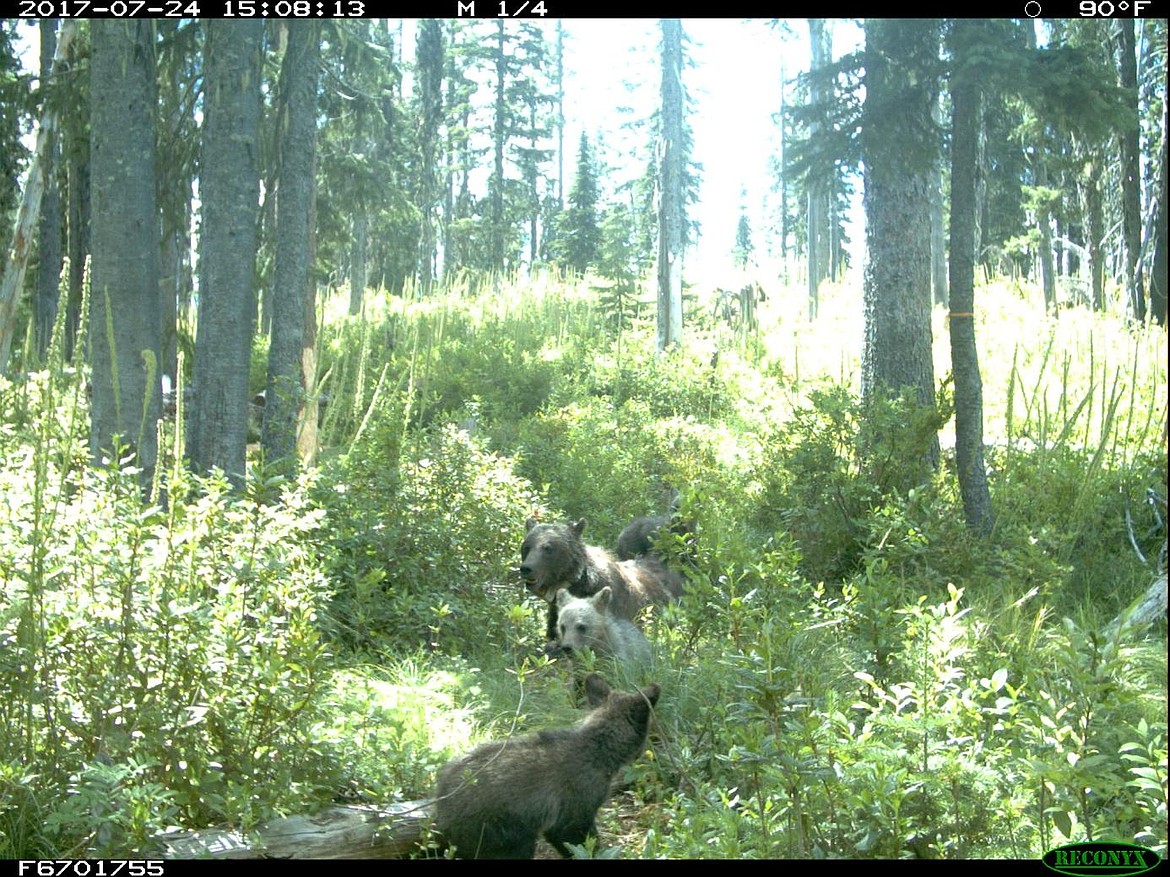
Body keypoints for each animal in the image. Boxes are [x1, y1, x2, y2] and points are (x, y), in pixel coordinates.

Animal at [435, 673, 664, 860]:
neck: (598, 748)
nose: (644, 751)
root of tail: (441, 817)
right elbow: (583, 848)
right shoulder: (572, 817)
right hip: (511, 838)